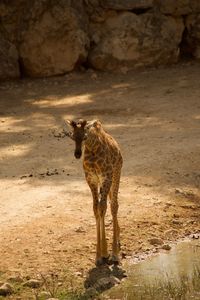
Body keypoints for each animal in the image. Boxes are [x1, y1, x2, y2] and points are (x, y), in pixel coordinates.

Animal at [65, 119, 122, 264]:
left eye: (84, 137)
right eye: (72, 136)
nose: (77, 154)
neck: (92, 148)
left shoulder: (106, 177)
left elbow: (102, 207)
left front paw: (108, 253)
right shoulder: (91, 179)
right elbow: (96, 208)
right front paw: (99, 256)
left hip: (116, 173)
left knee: (114, 205)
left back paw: (116, 251)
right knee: (110, 203)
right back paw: (117, 238)